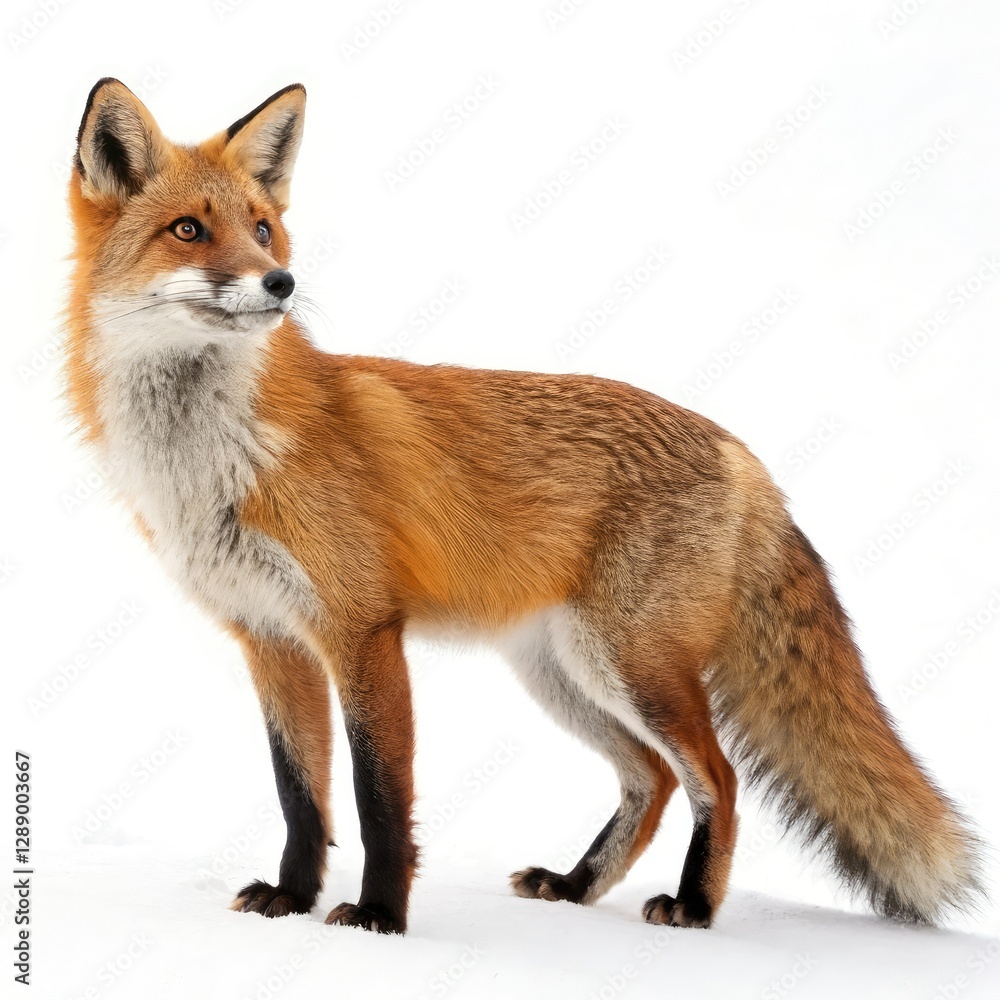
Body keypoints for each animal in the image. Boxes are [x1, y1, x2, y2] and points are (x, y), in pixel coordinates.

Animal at [64, 78, 981, 935]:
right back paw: (576, 886)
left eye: (261, 230)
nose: (282, 282)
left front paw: (381, 919)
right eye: (189, 230)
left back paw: (693, 904)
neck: (216, 460)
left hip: (632, 665)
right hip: (562, 673)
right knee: (651, 778)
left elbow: (377, 797)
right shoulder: (269, 637)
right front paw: (291, 900)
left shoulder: (362, 629)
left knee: (714, 775)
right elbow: (302, 796)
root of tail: (739, 451)